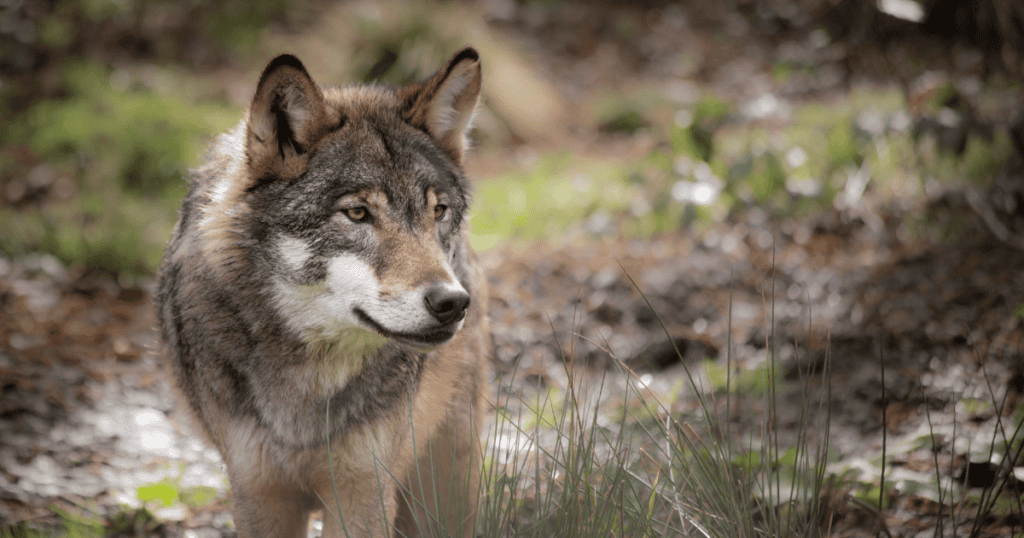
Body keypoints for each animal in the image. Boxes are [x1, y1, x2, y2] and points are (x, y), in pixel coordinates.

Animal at [155, 48, 489, 538]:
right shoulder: (259, 494)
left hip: (443, 482)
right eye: (357, 213)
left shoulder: (363, 491)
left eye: (438, 211)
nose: (452, 302)